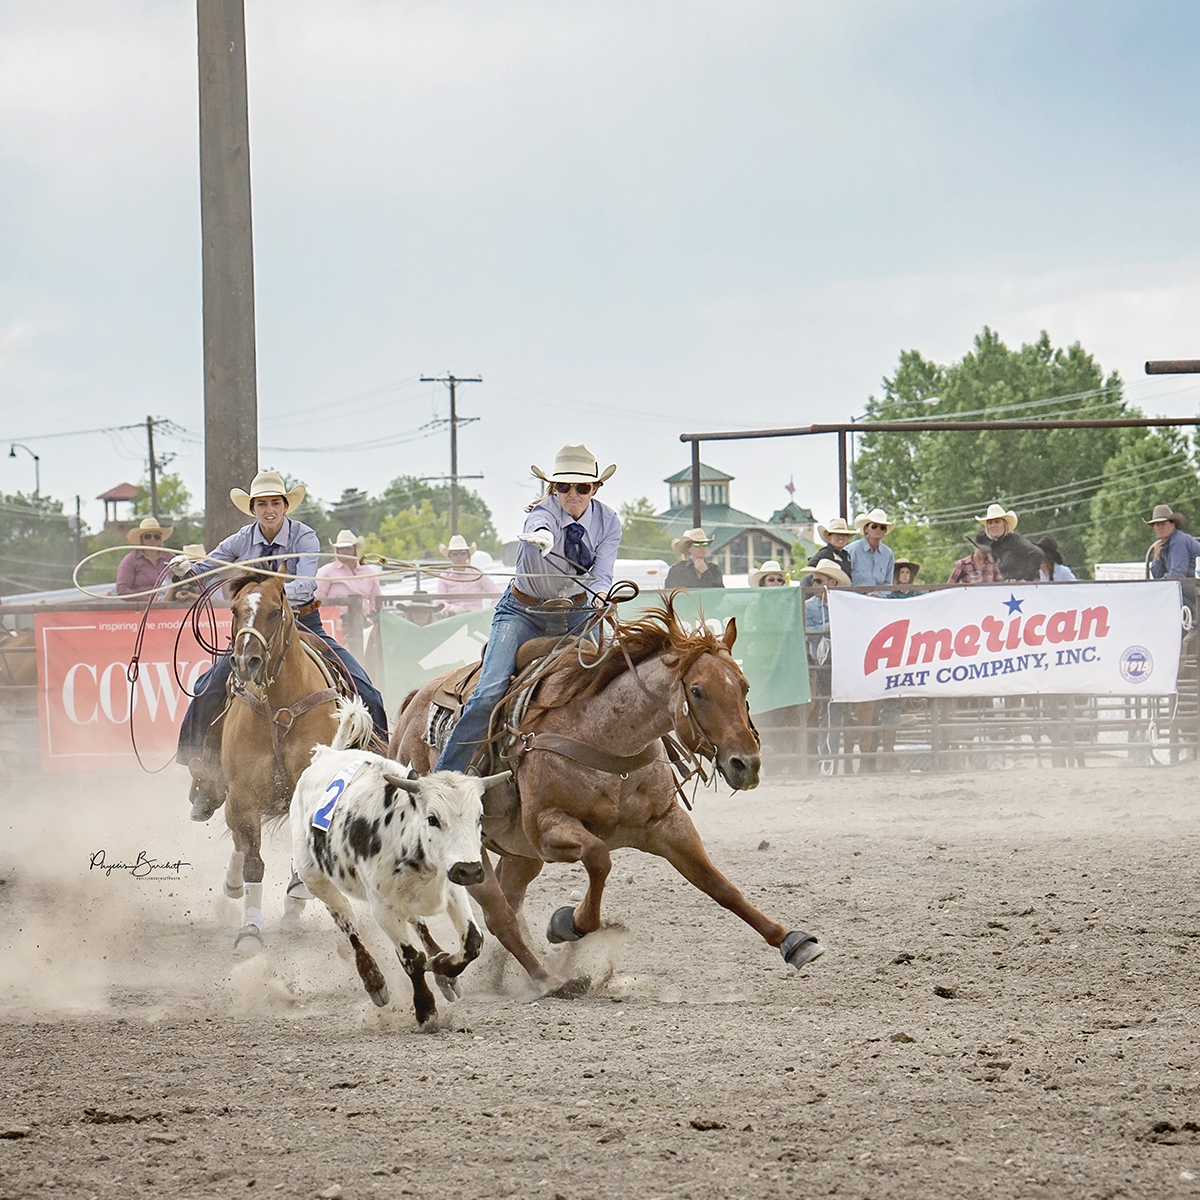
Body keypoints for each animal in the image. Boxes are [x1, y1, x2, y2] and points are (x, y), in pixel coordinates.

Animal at [218, 576, 362, 950]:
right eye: (234, 610)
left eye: (273, 612)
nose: (246, 662)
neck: (280, 706)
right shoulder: (242, 796)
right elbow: (253, 861)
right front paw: (250, 929)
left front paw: (296, 900)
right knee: (238, 843)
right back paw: (233, 885)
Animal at [393, 597, 825, 993]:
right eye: (698, 691)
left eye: (744, 685)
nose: (746, 764)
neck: (605, 737)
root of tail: (412, 705)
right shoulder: (548, 828)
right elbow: (600, 858)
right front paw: (567, 923)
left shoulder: (667, 823)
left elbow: (719, 885)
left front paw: (791, 940)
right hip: (470, 855)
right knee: (497, 913)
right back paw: (536, 978)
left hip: (520, 855)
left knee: (508, 904)